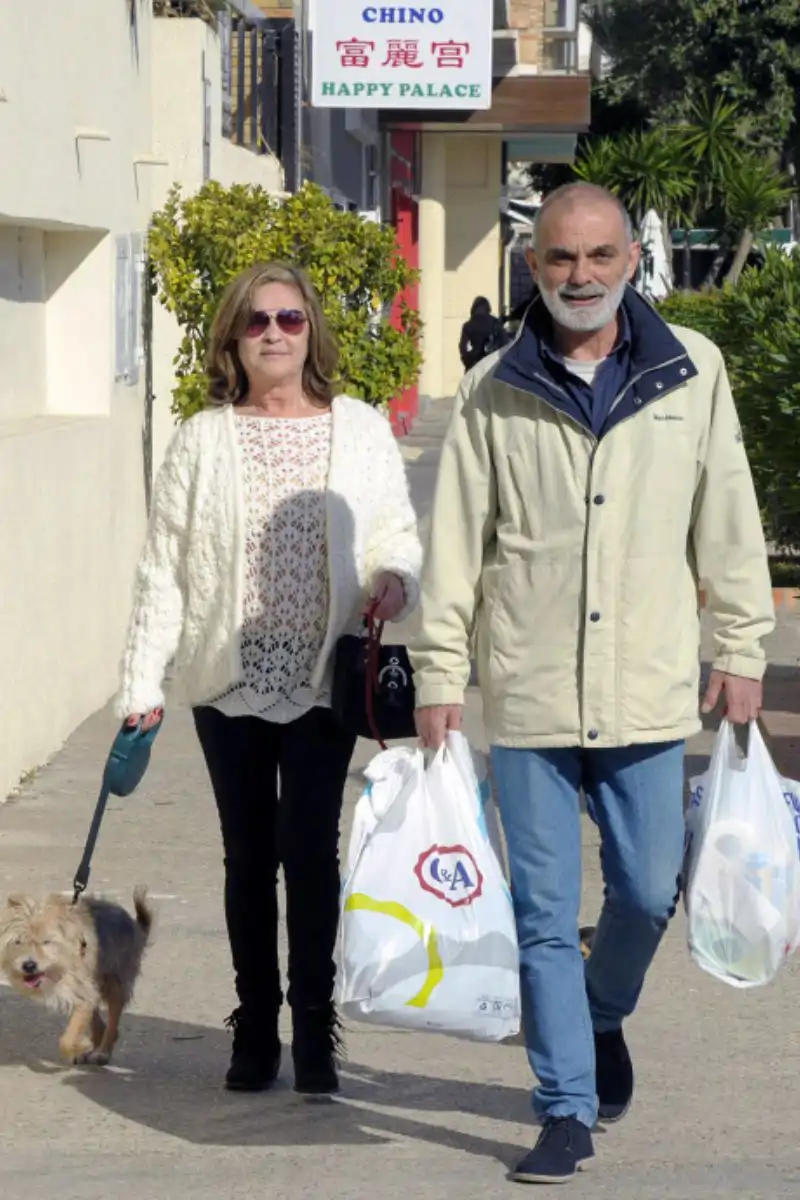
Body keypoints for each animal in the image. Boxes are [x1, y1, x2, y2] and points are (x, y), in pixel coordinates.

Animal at [0, 888, 153, 1065]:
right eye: (18, 942)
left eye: (47, 941)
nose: (28, 965)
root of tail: (134, 925)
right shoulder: (81, 994)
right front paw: (80, 1047)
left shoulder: (84, 993)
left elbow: (68, 1038)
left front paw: (80, 1045)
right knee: (99, 1025)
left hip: (115, 984)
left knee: (112, 1024)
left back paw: (103, 1052)